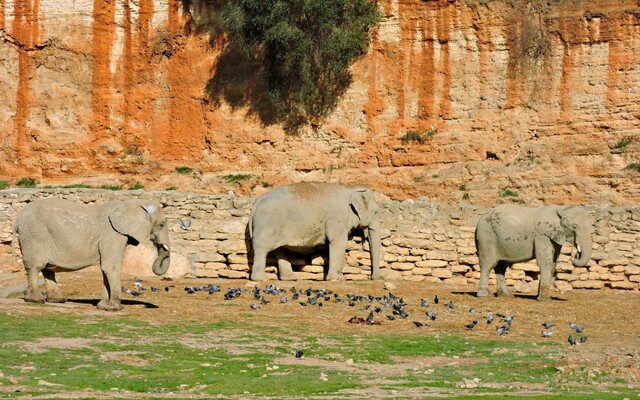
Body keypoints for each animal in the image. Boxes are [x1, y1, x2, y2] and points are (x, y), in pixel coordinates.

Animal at [15, 198, 170, 310]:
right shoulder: (113, 234)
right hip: (33, 236)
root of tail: (18, 218)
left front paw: (103, 306)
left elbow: (105, 268)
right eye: (161, 225)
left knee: (48, 268)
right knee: (35, 266)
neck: (134, 203)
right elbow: (110, 267)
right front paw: (115, 308)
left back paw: (58, 300)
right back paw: (36, 300)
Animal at [249, 182, 380, 282]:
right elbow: (338, 242)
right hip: (267, 224)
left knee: (280, 250)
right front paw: (337, 279)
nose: (375, 278)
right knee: (262, 249)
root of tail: (256, 203)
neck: (351, 188)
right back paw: (261, 279)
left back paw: (290, 279)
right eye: (376, 212)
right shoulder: (337, 218)